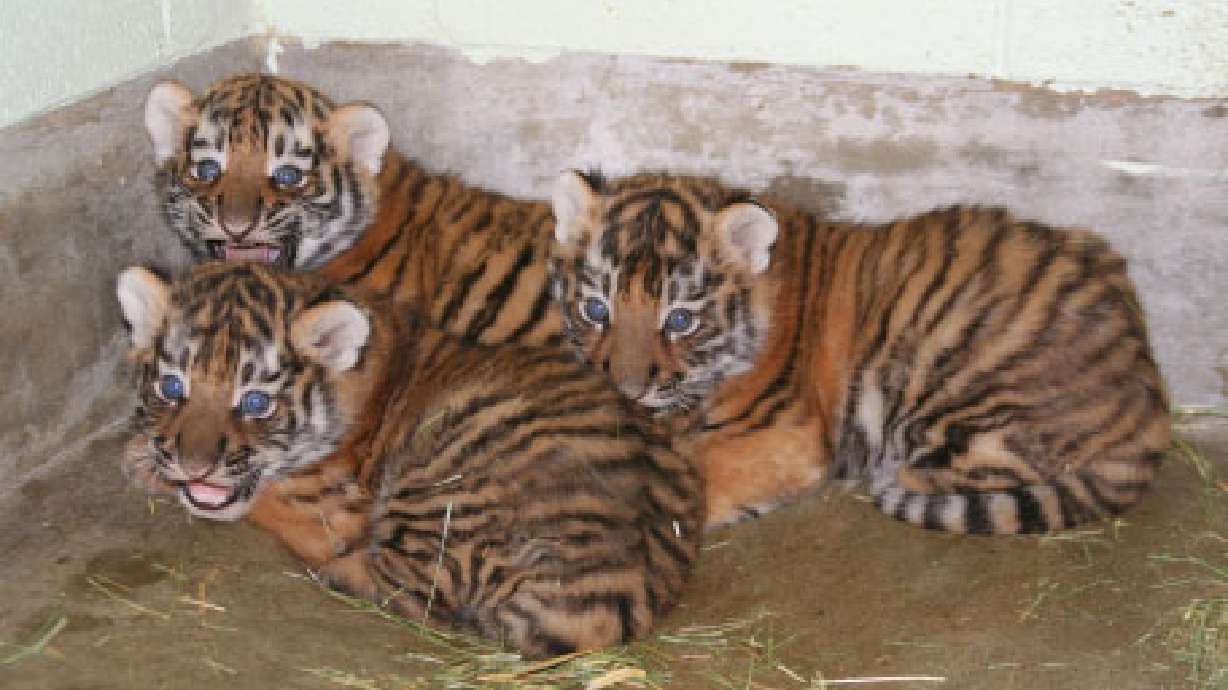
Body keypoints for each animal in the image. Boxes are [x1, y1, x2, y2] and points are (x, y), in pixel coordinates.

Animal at [115, 261, 702, 657]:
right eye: (172, 387)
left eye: (255, 402)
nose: (194, 466)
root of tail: (610, 598)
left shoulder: (328, 509)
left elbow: (267, 502)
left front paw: (142, 462)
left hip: (436, 496)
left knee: (405, 595)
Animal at [547, 170, 1171, 534]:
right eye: (596, 309)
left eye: (680, 320)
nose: (625, 389)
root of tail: (1150, 400)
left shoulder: (778, 436)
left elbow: (698, 474)